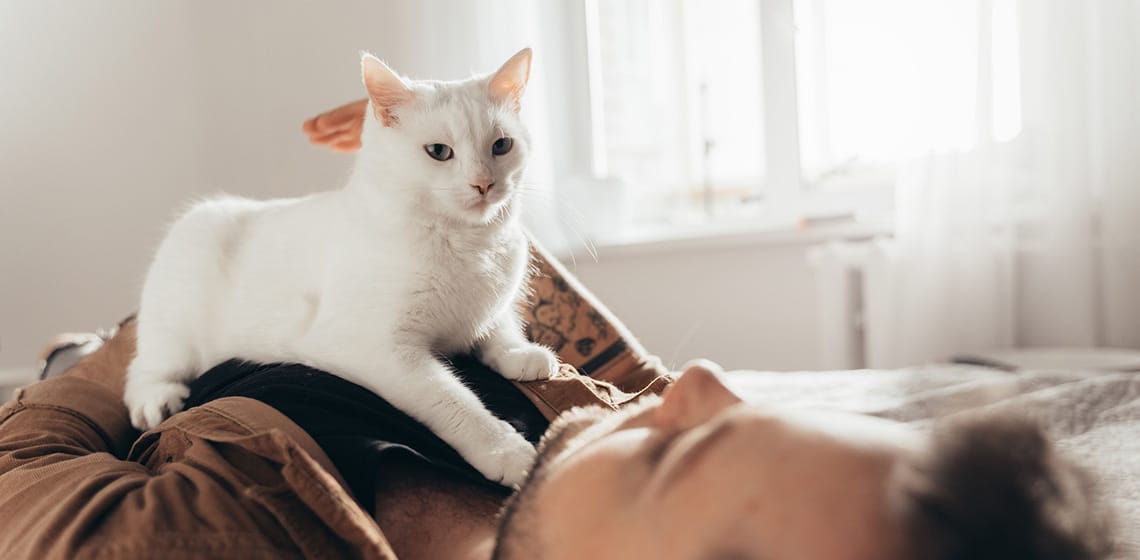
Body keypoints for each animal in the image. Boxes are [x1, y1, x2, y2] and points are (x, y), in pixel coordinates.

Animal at [122, 48, 558, 485]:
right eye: (438, 151)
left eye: (501, 145)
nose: (484, 183)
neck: (466, 241)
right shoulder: (381, 350)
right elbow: (452, 400)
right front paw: (504, 450)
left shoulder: (486, 309)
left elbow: (498, 328)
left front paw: (520, 353)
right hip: (177, 328)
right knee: (143, 369)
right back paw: (156, 399)